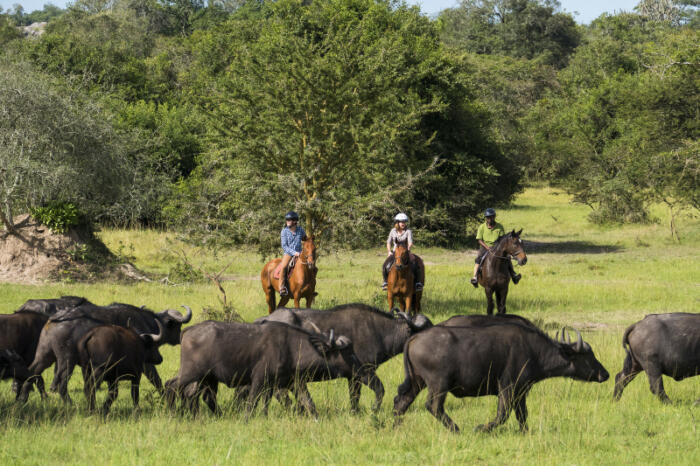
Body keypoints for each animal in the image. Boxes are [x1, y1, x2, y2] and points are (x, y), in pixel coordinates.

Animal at [19, 300, 191, 402]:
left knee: (32, 371)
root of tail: (55, 318)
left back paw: (23, 397)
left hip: (44, 355)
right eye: (177, 325)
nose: (180, 337)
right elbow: (155, 378)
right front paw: (163, 396)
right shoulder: (144, 362)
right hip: (66, 360)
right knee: (61, 381)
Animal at [167, 320, 364, 418]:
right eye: (349, 353)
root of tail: (188, 330)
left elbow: (307, 403)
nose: (360, 367)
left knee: (198, 396)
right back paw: (171, 412)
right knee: (171, 386)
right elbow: (252, 403)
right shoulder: (258, 380)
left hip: (206, 378)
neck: (292, 348)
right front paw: (247, 420)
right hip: (191, 373)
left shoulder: (292, 383)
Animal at [254, 304, 434, 410]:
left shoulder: (353, 377)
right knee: (280, 392)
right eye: (426, 327)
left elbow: (354, 397)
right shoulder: (364, 372)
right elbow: (380, 390)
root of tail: (265, 319)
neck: (380, 332)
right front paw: (374, 409)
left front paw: (355, 412)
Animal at [394, 320, 608, 434]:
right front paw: (481, 428)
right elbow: (502, 415)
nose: (604, 374)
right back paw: (456, 429)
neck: (534, 351)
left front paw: (525, 432)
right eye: (587, 356)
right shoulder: (507, 388)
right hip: (438, 385)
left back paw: (395, 425)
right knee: (433, 406)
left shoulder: (521, 392)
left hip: (417, 382)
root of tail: (414, 338)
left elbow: (522, 414)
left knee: (401, 401)